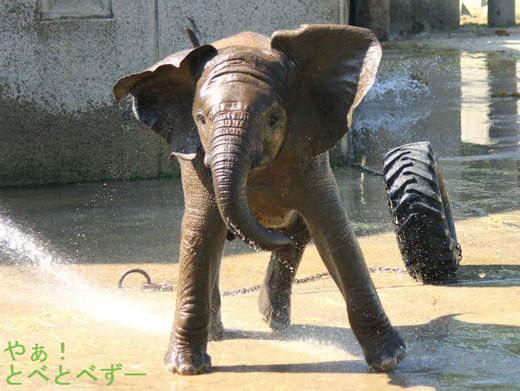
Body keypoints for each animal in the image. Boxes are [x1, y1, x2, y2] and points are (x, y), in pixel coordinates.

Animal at [115, 24, 406, 376]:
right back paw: (220, 333)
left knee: (301, 231)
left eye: (274, 119)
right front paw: (186, 369)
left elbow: (334, 232)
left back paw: (274, 320)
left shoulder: (307, 146)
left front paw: (390, 360)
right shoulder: (197, 159)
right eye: (200, 119)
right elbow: (199, 233)